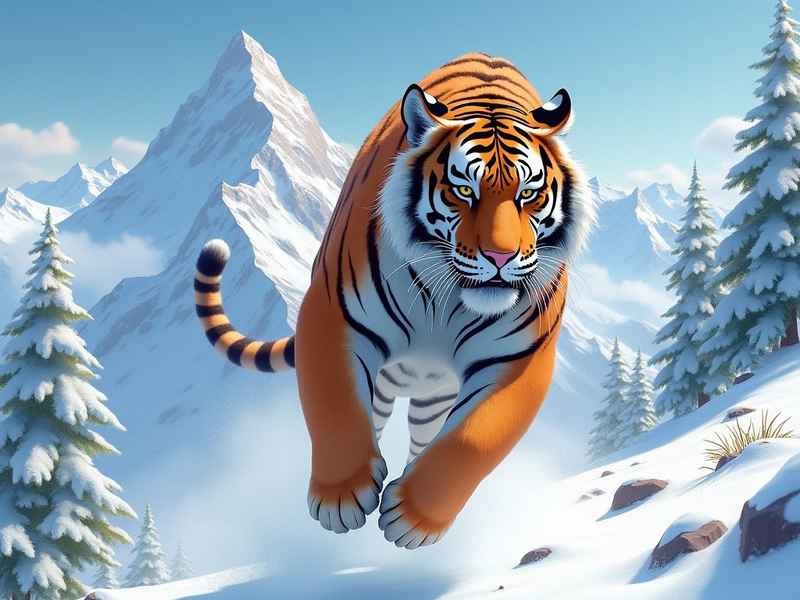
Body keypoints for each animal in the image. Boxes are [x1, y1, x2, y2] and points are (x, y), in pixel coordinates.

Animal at [194, 52, 593, 549]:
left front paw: (413, 518)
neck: (449, 302)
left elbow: (473, 439)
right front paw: (340, 497)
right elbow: (334, 405)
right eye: (464, 190)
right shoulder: (331, 314)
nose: (500, 256)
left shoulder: (523, 358)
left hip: (434, 392)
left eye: (528, 193)